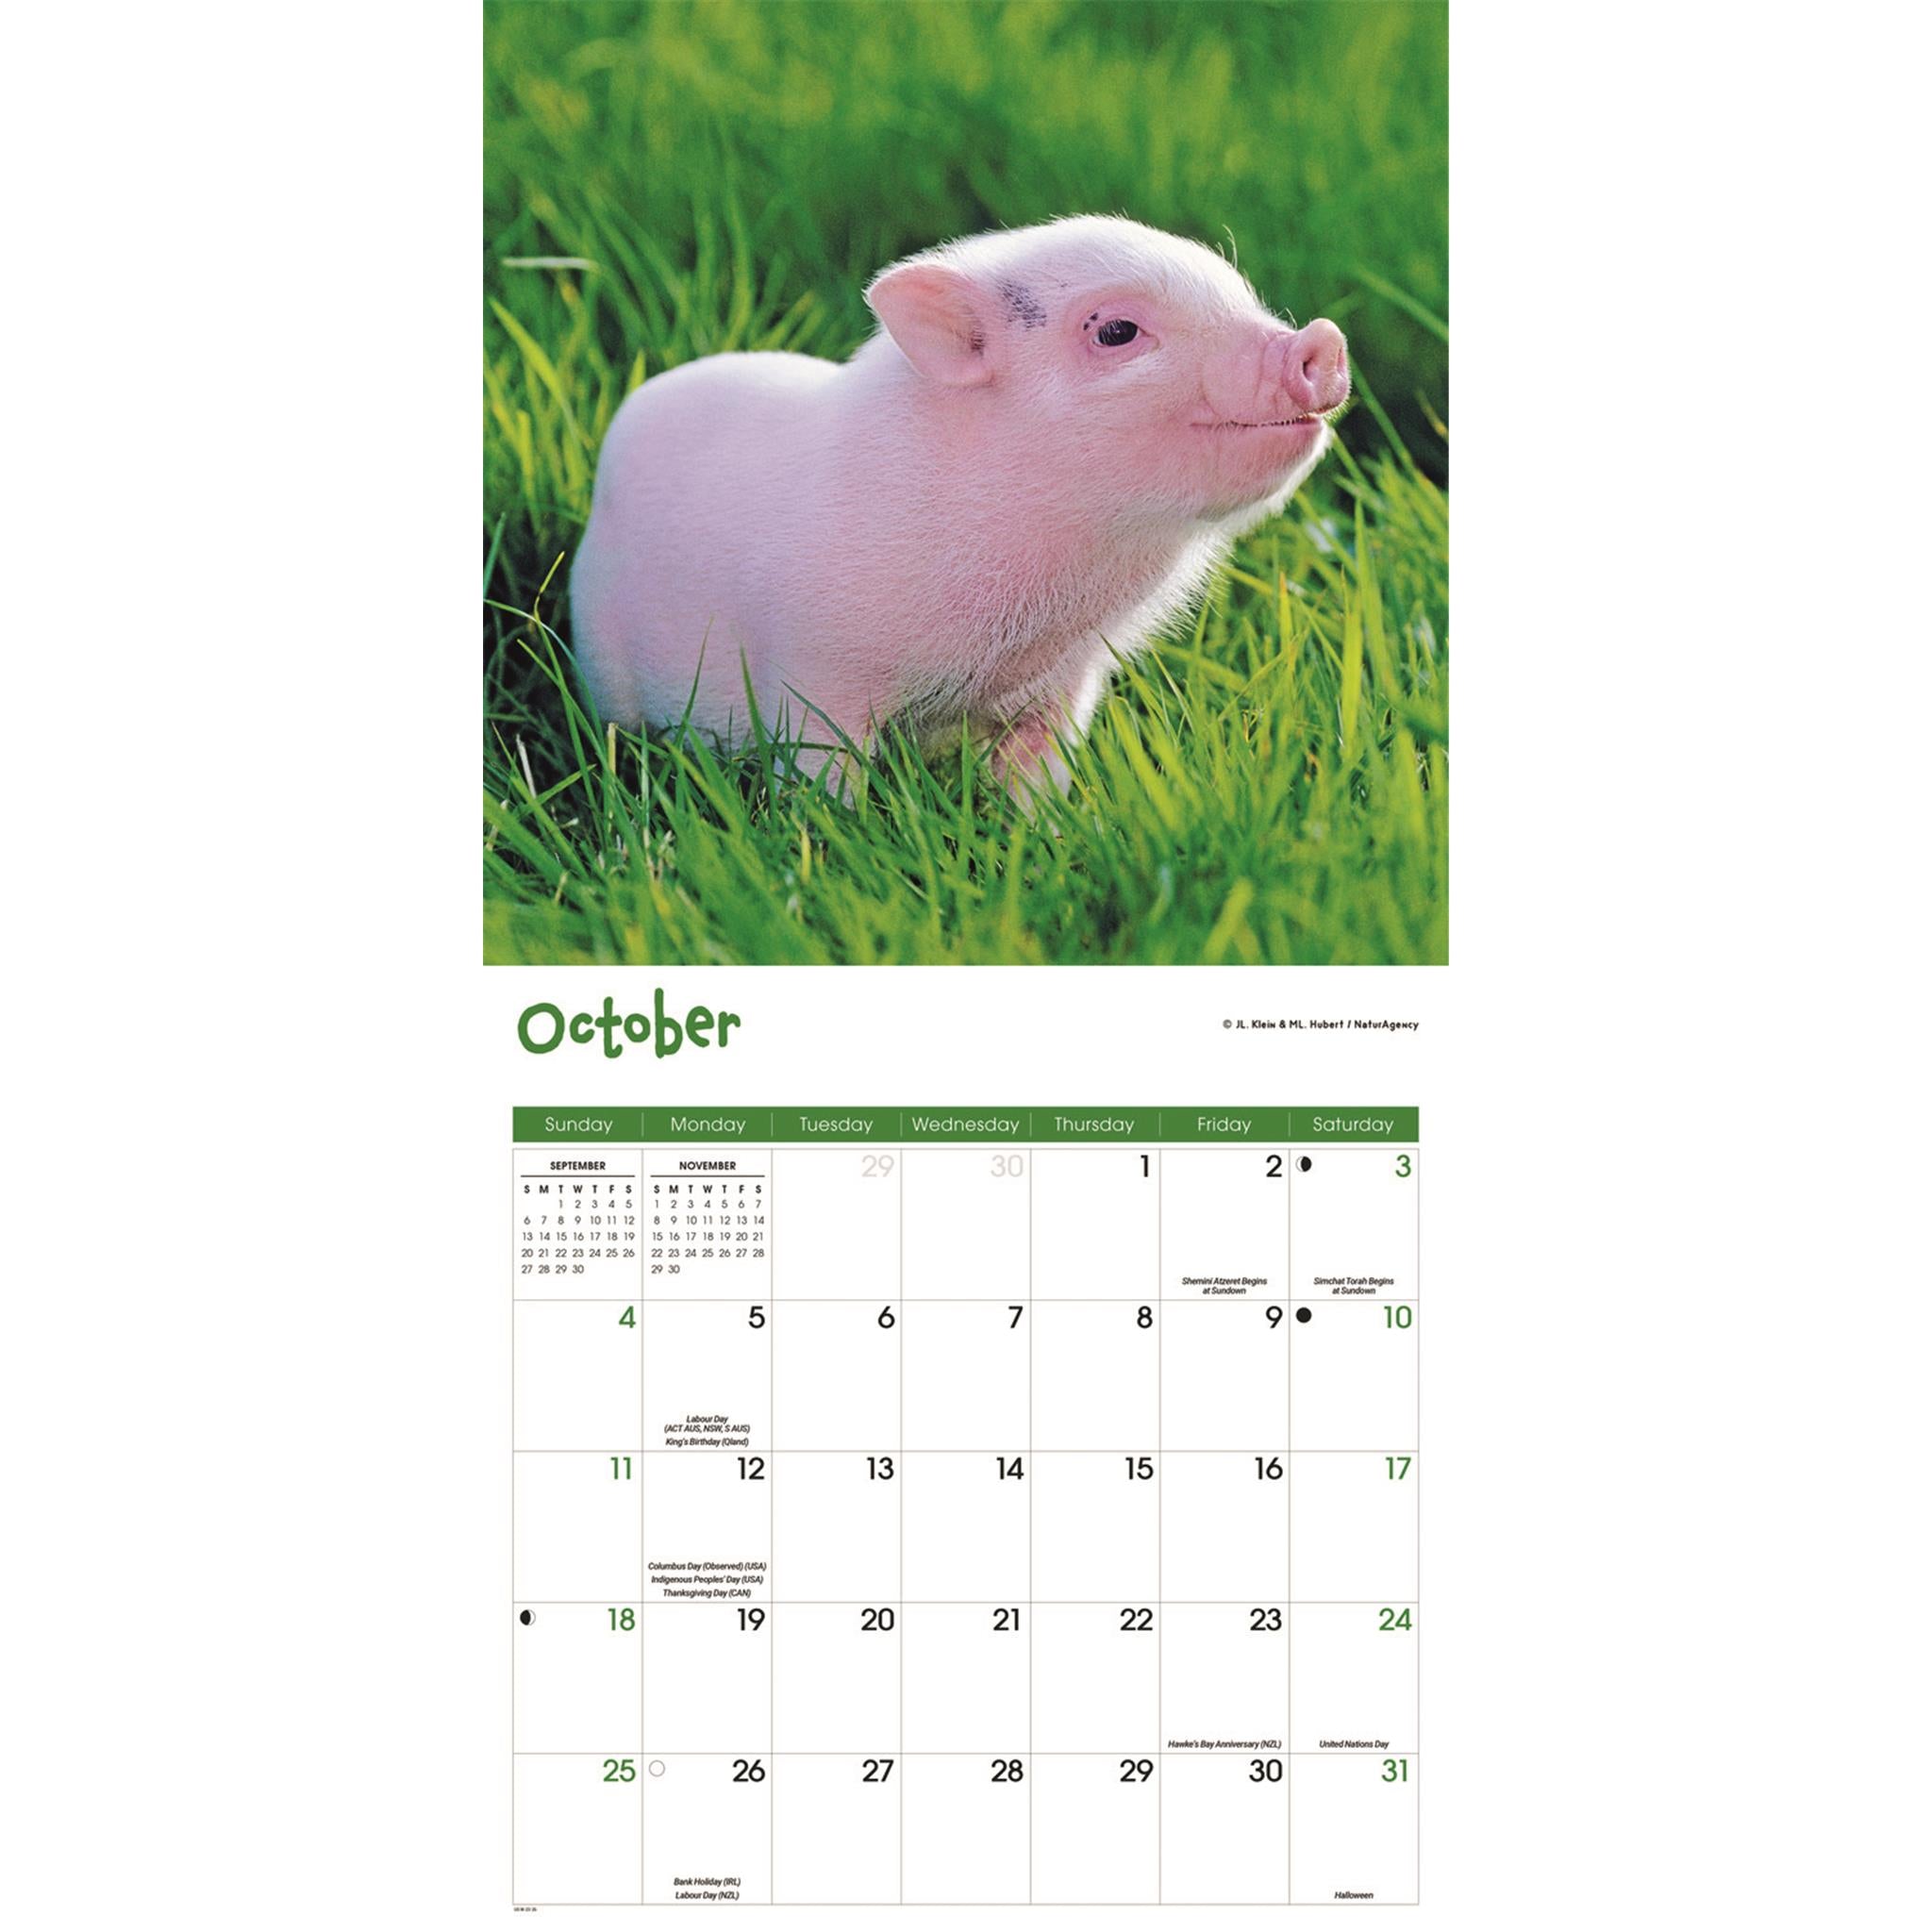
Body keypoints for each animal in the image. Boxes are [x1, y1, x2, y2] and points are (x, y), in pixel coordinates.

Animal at [570, 215, 1349, 793]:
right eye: (1116, 331)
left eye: (1243, 296)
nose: (1320, 339)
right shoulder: (813, 675)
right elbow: (827, 781)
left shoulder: (1066, 685)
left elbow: (1039, 780)